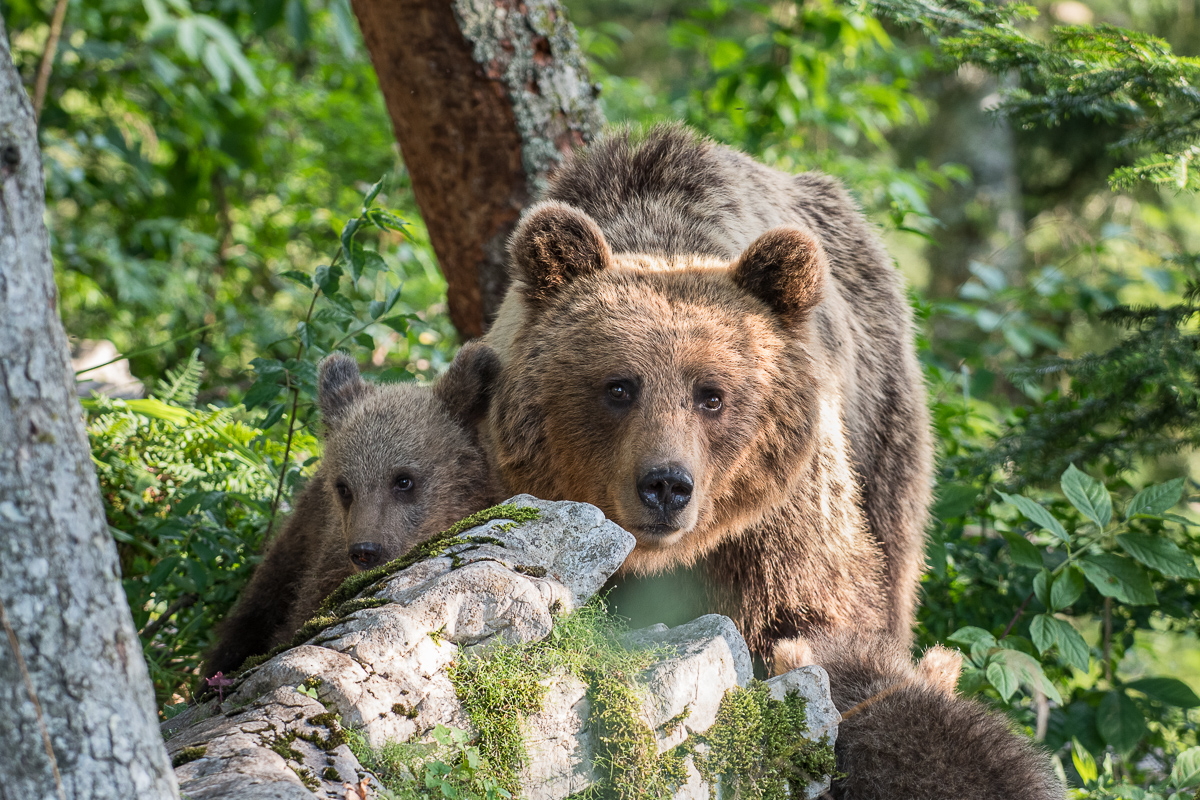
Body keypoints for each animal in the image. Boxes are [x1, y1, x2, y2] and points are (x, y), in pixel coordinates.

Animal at [482, 122, 931, 652]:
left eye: (711, 396)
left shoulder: (779, 515)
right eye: (619, 388)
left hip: (882, 423)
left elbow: (808, 598)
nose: (666, 485)